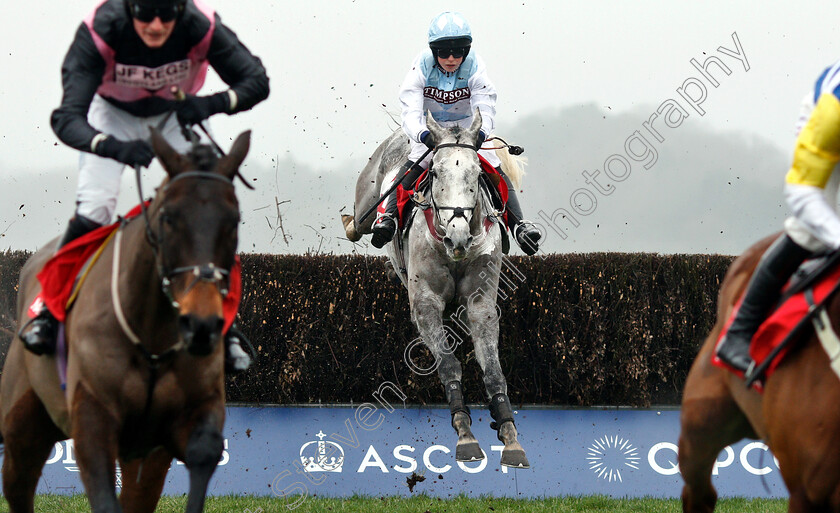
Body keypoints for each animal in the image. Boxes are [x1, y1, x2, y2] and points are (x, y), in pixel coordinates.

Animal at [0, 128, 249, 512]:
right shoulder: (93, 418)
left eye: (233, 220)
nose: (202, 325)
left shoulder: (180, 423)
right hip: (22, 429)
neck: (151, 339)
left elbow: (205, 453)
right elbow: (104, 497)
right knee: (19, 484)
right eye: (168, 218)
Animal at [342, 111, 528, 468]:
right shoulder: (425, 304)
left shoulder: (480, 303)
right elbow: (449, 364)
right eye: (436, 172)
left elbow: (493, 370)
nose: (458, 236)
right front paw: (465, 433)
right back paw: (359, 224)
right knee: (358, 222)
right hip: (366, 201)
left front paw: (509, 435)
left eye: (477, 173)